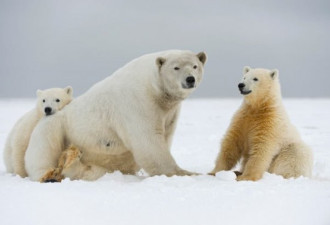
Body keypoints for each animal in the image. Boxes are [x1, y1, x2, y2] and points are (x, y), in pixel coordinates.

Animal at [25, 49, 206, 181]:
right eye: (176, 67)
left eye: (195, 66)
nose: (190, 79)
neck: (154, 88)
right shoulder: (137, 102)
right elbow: (148, 140)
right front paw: (186, 173)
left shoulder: (168, 111)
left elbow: (165, 134)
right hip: (58, 126)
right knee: (44, 148)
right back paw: (50, 175)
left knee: (95, 169)